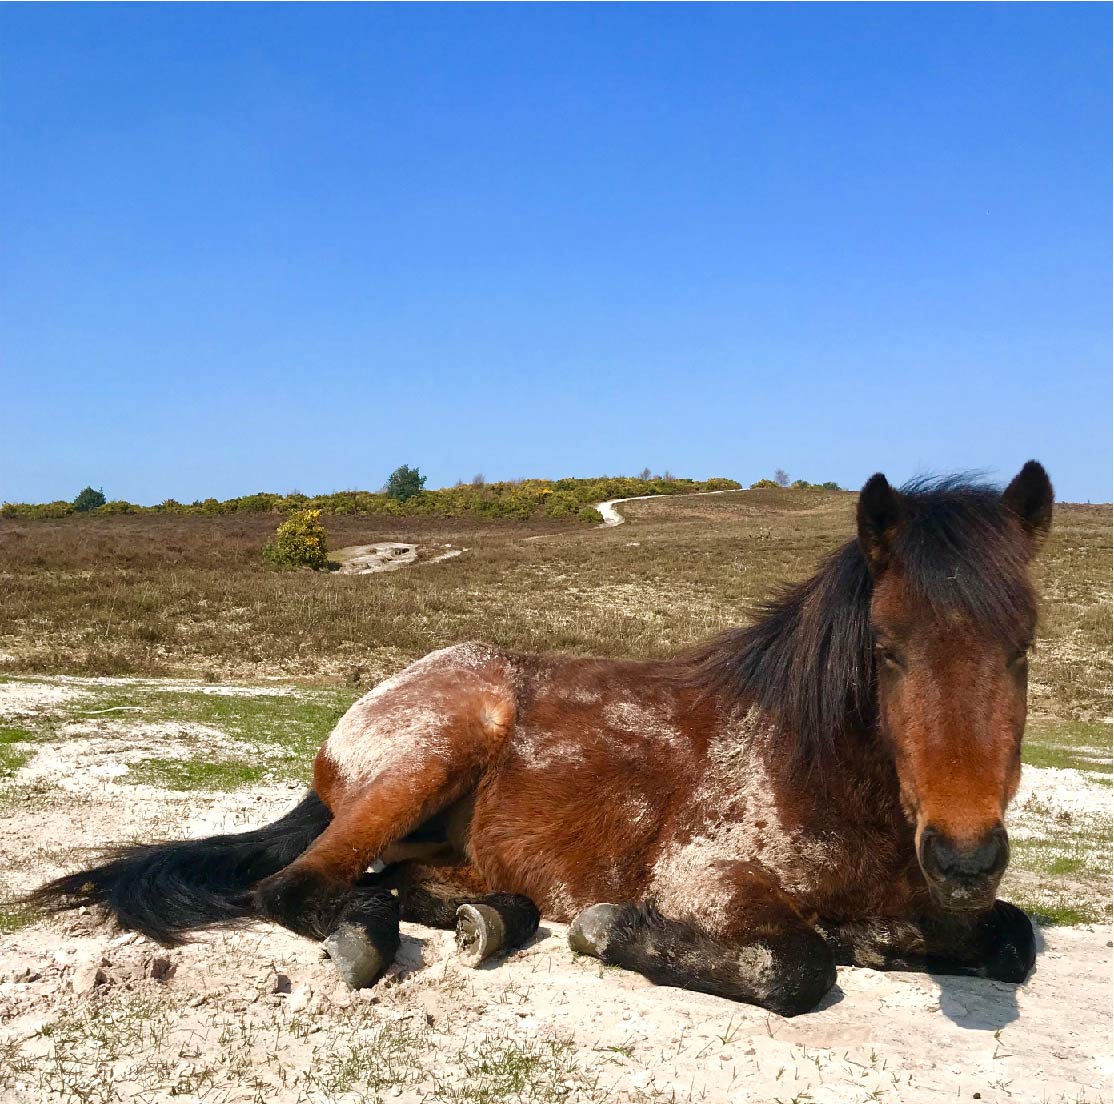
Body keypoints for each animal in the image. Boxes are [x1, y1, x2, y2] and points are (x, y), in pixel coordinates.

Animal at [28, 458, 1051, 1020]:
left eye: (1024, 646)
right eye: (887, 650)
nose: (964, 856)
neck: (823, 773)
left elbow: (1008, 939)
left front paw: (883, 936)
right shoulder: (704, 875)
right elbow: (796, 966)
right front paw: (615, 930)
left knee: (400, 882)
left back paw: (490, 917)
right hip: (432, 753)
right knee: (302, 886)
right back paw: (372, 936)